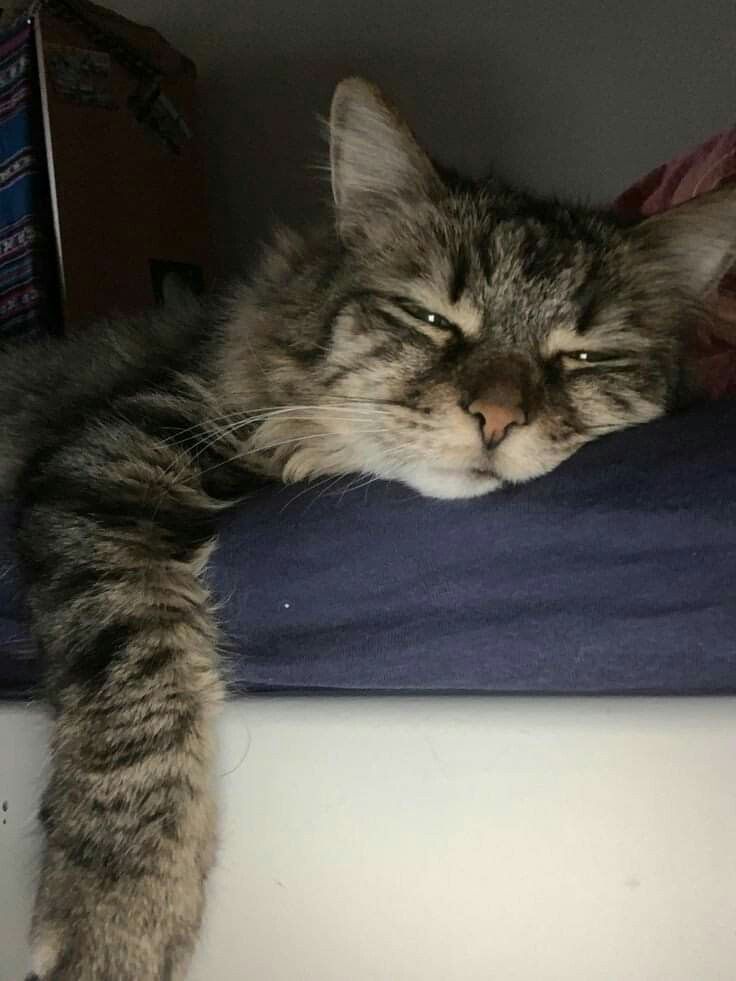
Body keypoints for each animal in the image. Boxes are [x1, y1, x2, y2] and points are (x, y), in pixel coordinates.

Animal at [4, 78, 732, 980]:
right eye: (430, 318)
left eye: (587, 357)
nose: (497, 417)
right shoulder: (112, 452)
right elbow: (138, 687)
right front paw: (118, 912)